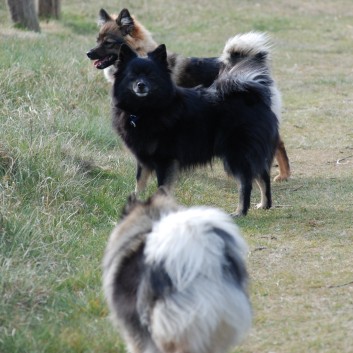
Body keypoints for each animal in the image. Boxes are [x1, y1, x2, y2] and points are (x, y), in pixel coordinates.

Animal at [112, 44, 278, 214]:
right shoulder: (144, 157)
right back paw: (265, 204)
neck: (145, 110)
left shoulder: (165, 159)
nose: (141, 85)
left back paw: (241, 211)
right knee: (263, 175)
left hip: (236, 154)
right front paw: (134, 205)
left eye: (151, 75)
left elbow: (162, 188)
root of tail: (255, 96)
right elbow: (139, 183)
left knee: (246, 182)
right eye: (132, 75)